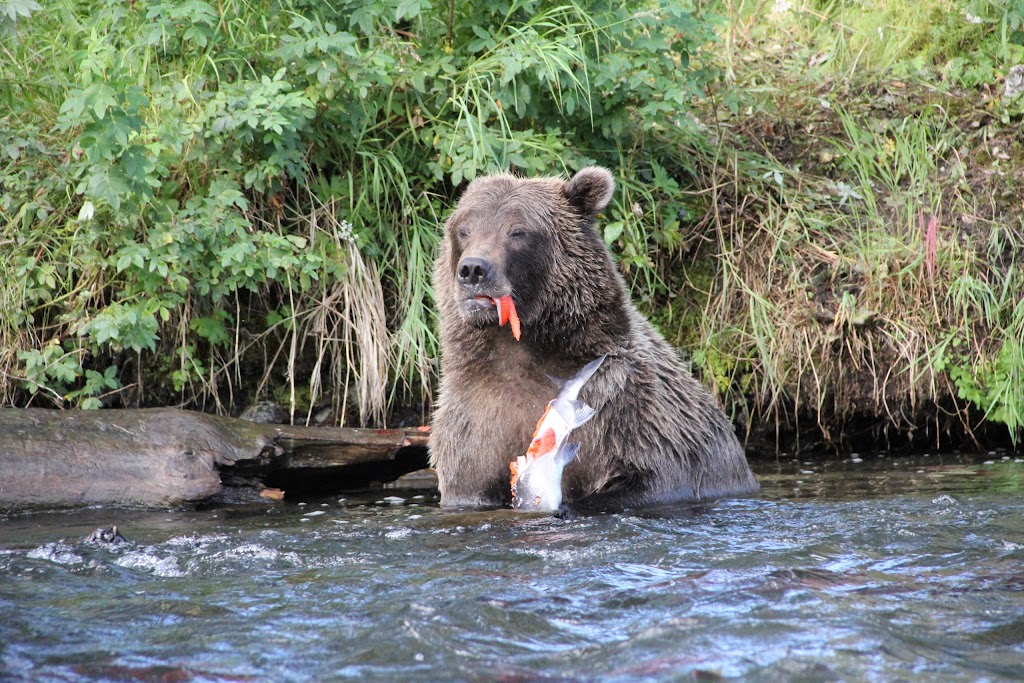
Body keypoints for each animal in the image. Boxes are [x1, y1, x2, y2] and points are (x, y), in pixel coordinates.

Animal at [428, 165, 757, 507]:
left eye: (518, 231)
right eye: (464, 228)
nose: (473, 269)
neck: (523, 347)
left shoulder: (629, 415)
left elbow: (646, 477)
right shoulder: (474, 425)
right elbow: (470, 477)